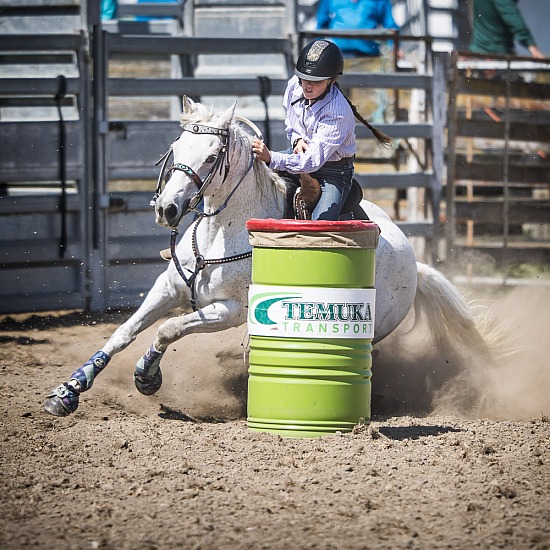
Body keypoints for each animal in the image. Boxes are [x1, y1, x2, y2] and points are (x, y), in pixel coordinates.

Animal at [44, 99, 484, 418]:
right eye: (176, 148)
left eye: (211, 157)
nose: (167, 209)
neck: (221, 234)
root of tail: (416, 262)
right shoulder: (167, 289)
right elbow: (124, 332)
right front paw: (68, 391)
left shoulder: (229, 310)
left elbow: (167, 330)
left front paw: (146, 376)